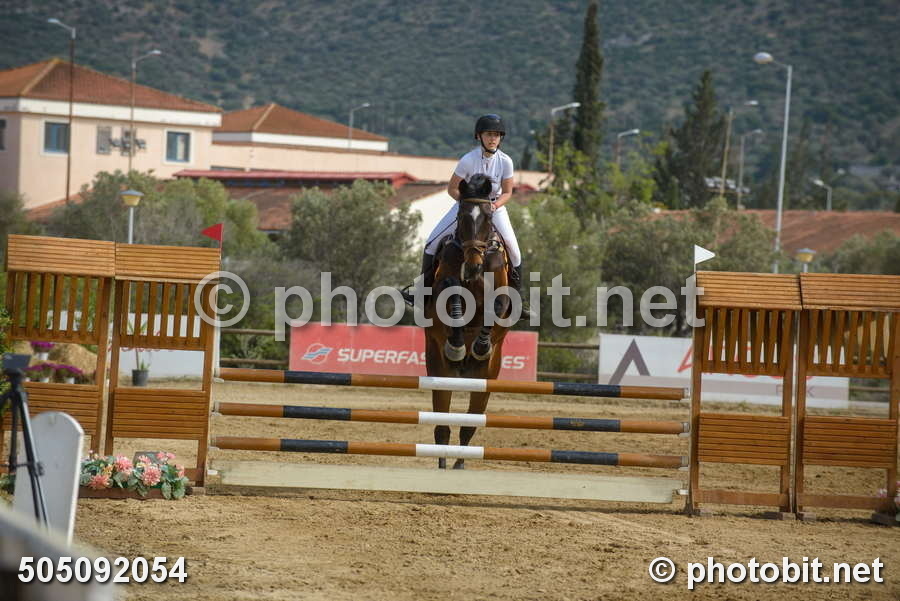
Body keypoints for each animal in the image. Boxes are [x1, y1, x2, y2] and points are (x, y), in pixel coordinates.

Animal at [423, 174, 514, 469]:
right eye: (462, 216)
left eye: (488, 217)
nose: (473, 267)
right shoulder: (444, 286)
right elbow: (452, 295)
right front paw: (457, 343)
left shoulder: (500, 293)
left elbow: (496, 306)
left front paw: (481, 344)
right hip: (438, 367)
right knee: (442, 425)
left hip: (487, 374)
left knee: (469, 424)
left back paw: (459, 463)